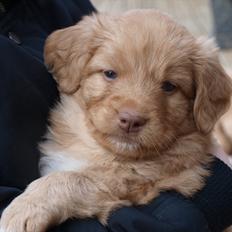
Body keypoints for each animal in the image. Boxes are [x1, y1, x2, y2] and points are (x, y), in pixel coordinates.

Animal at [0, 9, 232, 232]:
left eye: (169, 86)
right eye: (110, 73)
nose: (131, 120)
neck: (99, 151)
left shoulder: (131, 184)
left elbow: (71, 179)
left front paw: (24, 208)